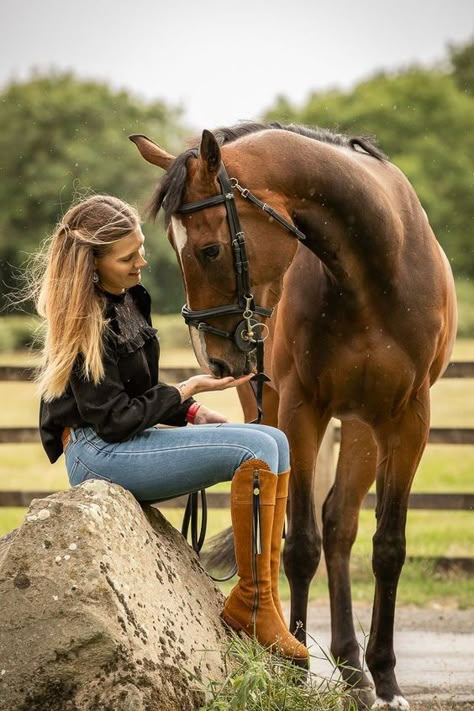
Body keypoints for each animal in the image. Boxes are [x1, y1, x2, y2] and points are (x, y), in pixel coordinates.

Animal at [131, 124, 458, 711]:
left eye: (210, 249)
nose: (214, 360)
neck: (374, 269)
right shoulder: (303, 410)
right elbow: (299, 544)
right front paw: (295, 670)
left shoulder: (408, 420)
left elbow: (388, 545)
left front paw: (387, 680)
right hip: (276, 408)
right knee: (286, 527)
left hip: (362, 426)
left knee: (340, 526)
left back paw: (355, 671)